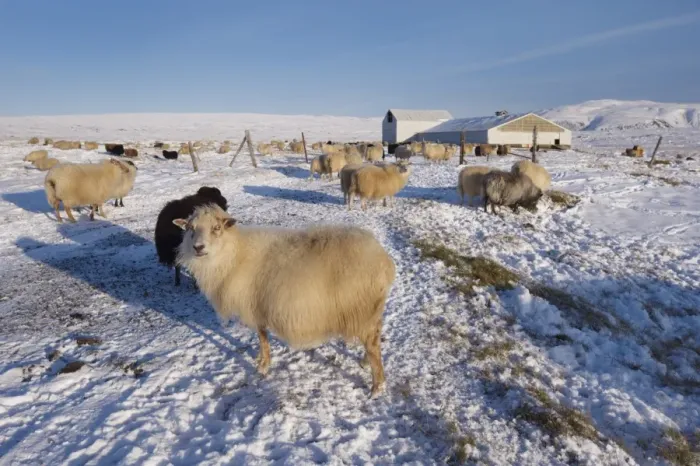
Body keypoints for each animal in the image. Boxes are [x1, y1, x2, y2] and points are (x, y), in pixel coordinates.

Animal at [173, 204, 396, 397]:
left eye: (216, 228)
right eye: (190, 228)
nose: (198, 247)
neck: (234, 254)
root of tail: (383, 260)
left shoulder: (256, 307)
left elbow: (262, 338)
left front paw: (263, 366)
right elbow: (262, 338)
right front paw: (260, 360)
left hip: (362, 308)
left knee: (373, 344)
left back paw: (377, 387)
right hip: (370, 311)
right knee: (375, 336)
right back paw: (365, 363)